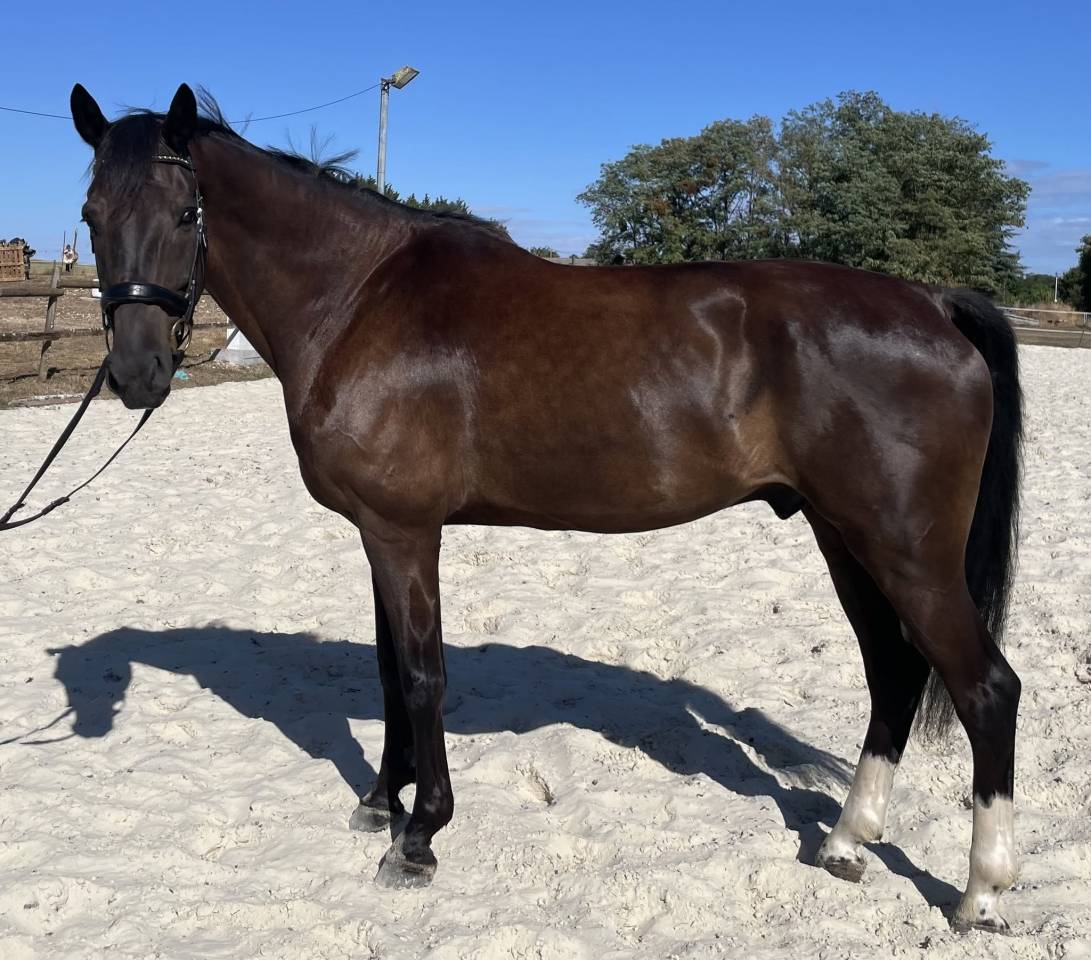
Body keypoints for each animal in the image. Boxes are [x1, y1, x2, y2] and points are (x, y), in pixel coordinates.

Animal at [68, 83, 1023, 931]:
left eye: (185, 215)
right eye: (90, 215)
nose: (137, 375)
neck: (358, 297)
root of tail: (930, 302)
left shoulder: (404, 533)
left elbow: (421, 674)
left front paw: (419, 837)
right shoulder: (379, 533)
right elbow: (386, 671)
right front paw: (380, 802)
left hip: (903, 550)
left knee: (984, 687)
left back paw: (980, 893)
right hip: (844, 538)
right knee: (893, 672)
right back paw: (846, 842)